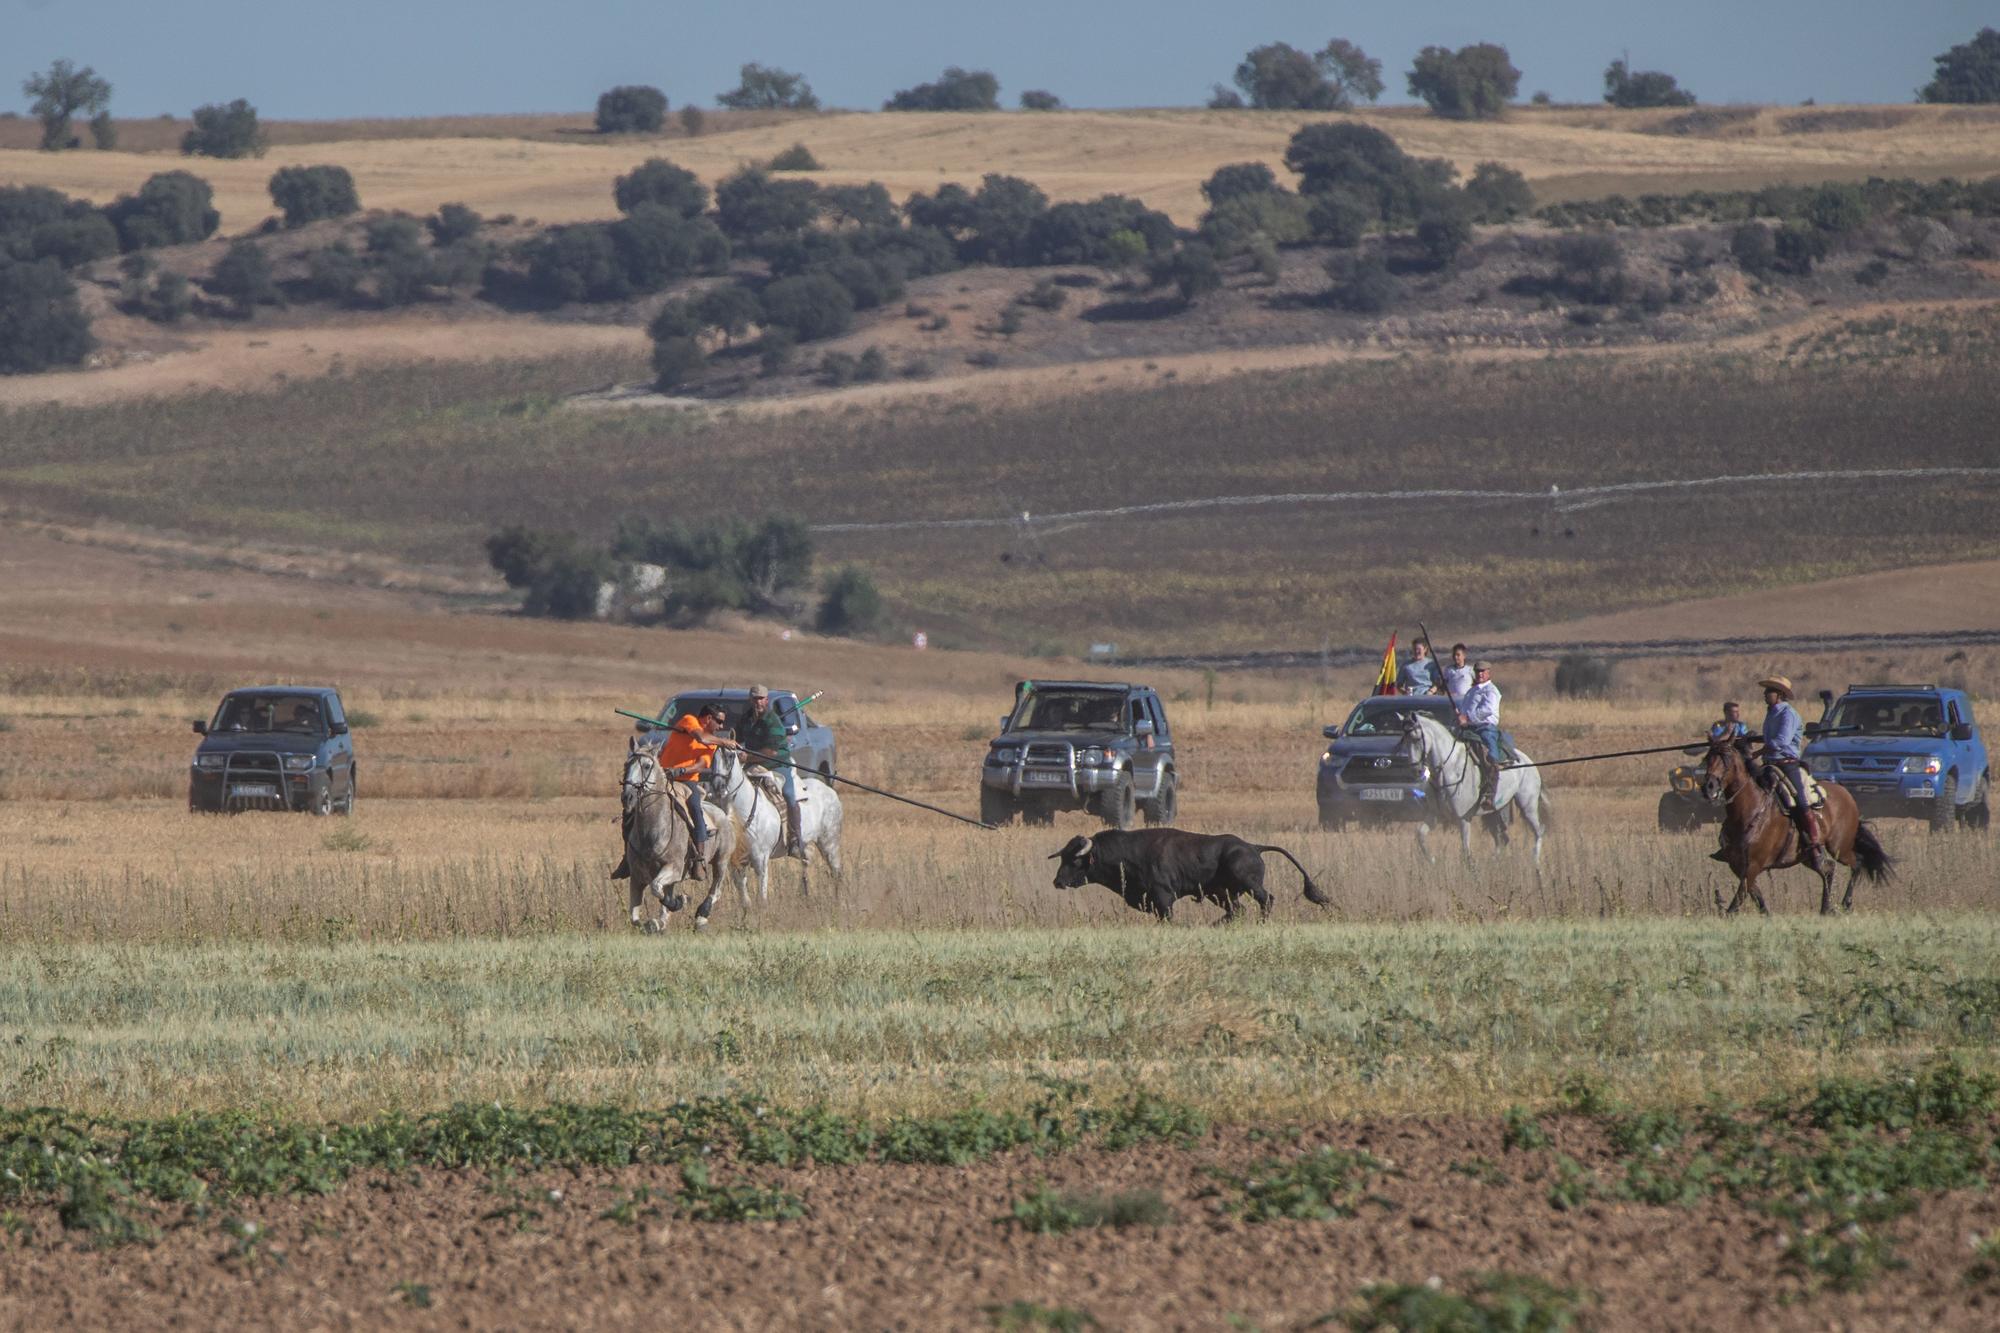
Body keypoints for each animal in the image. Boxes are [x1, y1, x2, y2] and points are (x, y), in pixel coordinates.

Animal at [704, 748, 844, 904]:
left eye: (729, 756)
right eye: (713, 758)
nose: (717, 786)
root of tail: (830, 791)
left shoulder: (761, 860)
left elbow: (762, 896)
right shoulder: (736, 863)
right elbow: (744, 898)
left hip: (829, 842)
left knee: (836, 870)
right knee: (807, 859)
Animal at [1048, 824, 1328, 920]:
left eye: (1075, 860)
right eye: (1062, 857)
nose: (1057, 882)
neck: (1127, 855)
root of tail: (1252, 847)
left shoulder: (1163, 898)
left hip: (1250, 886)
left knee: (1266, 900)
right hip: (1221, 894)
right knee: (1236, 911)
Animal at [1400, 712, 1552, 868]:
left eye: (1417, 738)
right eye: (1404, 739)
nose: (1416, 770)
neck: (1449, 769)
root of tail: (1530, 762)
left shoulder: (1463, 819)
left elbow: (1466, 850)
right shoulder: (1435, 815)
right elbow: (1420, 835)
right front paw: (1432, 861)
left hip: (1527, 806)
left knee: (1538, 831)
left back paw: (1536, 863)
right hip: (1494, 813)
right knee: (1502, 839)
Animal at [1704, 736, 1888, 912]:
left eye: (1727, 757)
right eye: (1707, 758)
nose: (1709, 787)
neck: (1751, 811)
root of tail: (1845, 793)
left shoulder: (1753, 866)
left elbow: (1738, 901)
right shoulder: (1737, 866)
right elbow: (1758, 900)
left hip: (1839, 847)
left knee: (1857, 863)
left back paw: (1845, 904)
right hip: (1808, 856)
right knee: (1828, 868)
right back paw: (1826, 908)